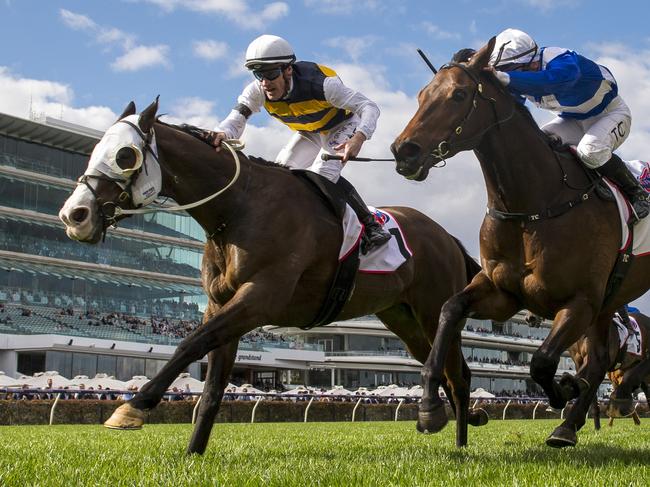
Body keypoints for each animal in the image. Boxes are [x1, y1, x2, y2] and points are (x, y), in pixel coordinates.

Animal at [59, 98, 486, 454]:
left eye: (124, 155)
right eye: (95, 151)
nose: (74, 215)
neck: (239, 207)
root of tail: (446, 235)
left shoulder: (260, 297)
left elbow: (189, 344)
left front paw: (134, 406)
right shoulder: (221, 304)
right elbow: (211, 387)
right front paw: (192, 454)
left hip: (431, 309)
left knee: (460, 373)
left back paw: (455, 437)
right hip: (402, 318)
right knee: (447, 369)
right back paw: (456, 425)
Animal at [390, 39, 648, 450]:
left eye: (459, 94)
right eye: (421, 95)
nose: (404, 151)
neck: (534, 206)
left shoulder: (580, 300)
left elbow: (541, 362)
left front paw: (565, 388)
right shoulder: (503, 293)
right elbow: (449, 309)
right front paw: (429, 405)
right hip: (609, 302)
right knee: (599, 359)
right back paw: (568, 425)